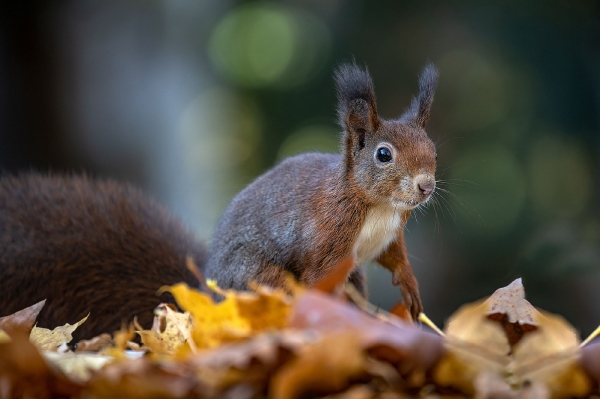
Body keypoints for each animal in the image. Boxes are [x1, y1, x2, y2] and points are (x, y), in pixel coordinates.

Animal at [1, 61, 440, 338]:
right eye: (383, 154)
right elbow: (320, 279)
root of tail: (206, 302)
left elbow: (394, 259)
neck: (379, 206)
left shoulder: (389, 234)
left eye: (432, 148)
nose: (426, 185)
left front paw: (411, 289)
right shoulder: (329, 234)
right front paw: (338, 319)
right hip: (257, 279)